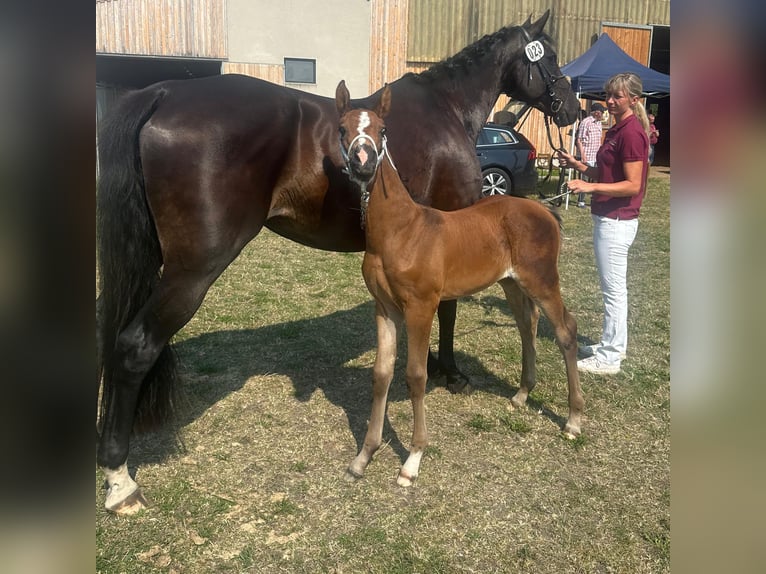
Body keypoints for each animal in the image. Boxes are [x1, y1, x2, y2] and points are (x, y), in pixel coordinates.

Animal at [340, 81, 584, 486]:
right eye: (343, 129)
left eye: (383, 131)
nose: (363, 162)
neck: (400, 230)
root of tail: (545, 209)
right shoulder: (385, 308)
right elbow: (381, 374)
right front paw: (364, 456)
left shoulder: (421, 306)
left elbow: (416, 375)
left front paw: (412, 461)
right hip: (512, 283)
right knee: (527, 324)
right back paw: (522, 394)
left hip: (542, 280)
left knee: (565, 329)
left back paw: (574, 419)